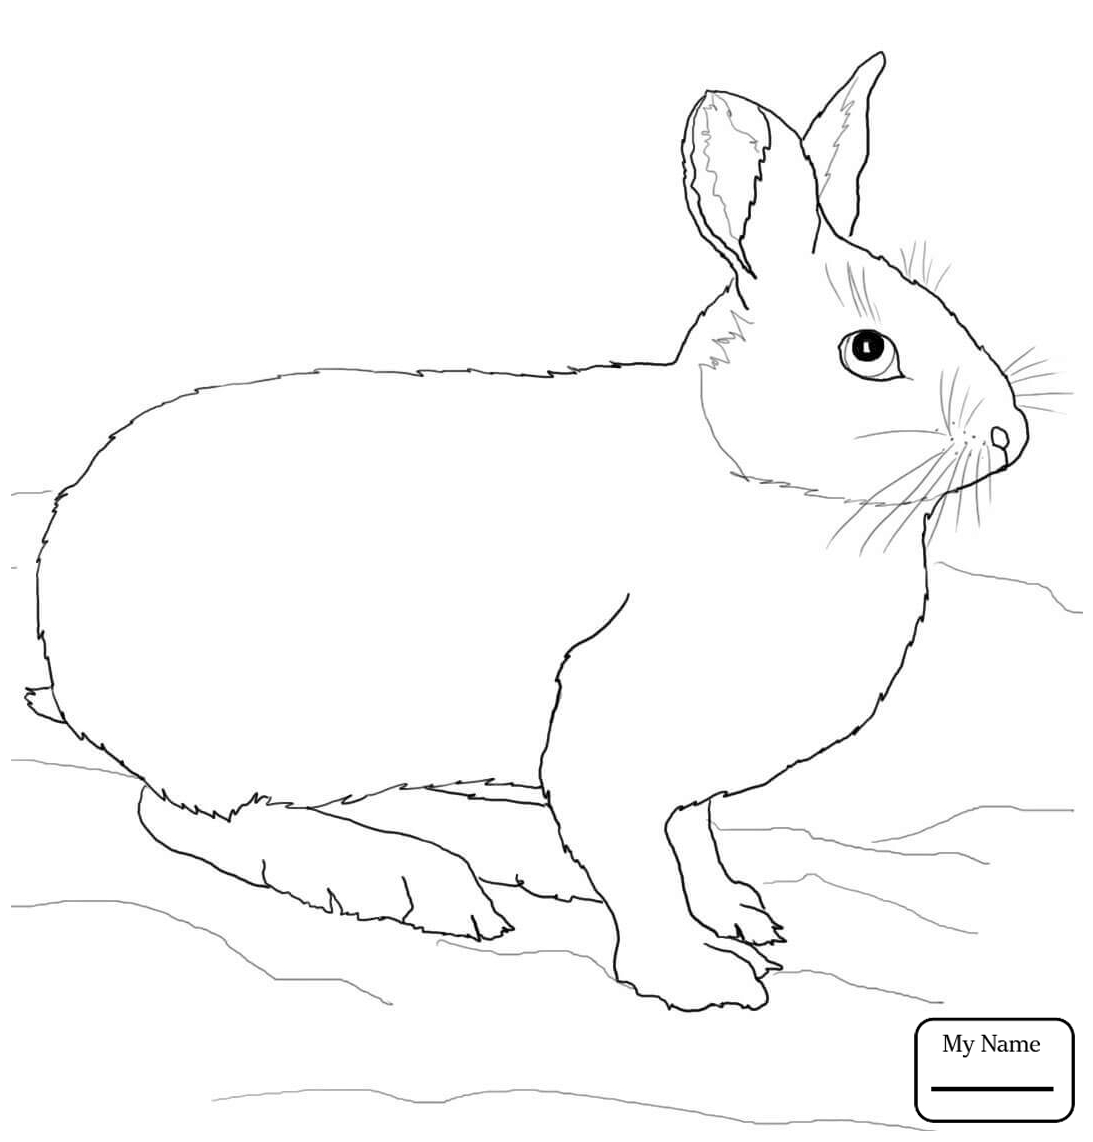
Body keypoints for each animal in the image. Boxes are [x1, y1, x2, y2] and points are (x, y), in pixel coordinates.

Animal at [30, 52, 1028, 1011]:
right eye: (868, 351)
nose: (1007, 435)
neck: (751, 476)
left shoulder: (687, 766)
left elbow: (691, 840)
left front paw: (736, 914)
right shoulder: (609, 723)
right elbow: (640, 866)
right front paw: (699, 978)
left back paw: (524, 859)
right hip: (260, 724)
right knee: (193, 816)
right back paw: (408, 880)